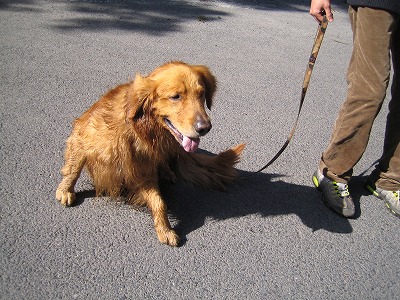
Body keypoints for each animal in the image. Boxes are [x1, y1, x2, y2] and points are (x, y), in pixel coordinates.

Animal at [55, 61, 244, 246]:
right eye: (176, 96)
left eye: (202, 94)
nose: (205, 128)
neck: (140, 129)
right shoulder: (82, 136)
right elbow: (73, 168)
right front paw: (65, 189)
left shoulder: (144, 170)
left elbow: (160, 202)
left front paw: (165, 228)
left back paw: (167, 172)